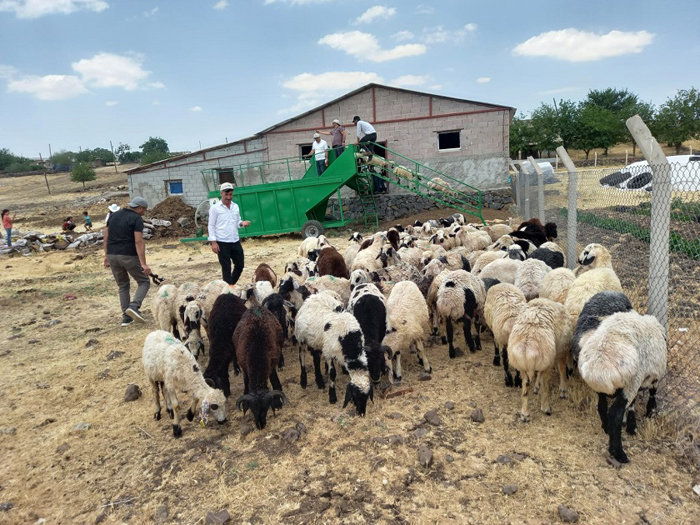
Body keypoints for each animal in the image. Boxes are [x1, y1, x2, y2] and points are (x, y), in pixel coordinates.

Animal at [576, 310, 668, 460]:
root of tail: (599, 364)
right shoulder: (649, 377)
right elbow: (652, 393)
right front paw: (645, 416)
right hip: (632, 380)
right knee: (615, 414)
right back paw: (618, 452)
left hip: (607, 387)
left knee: (602, 407)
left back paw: (607, 428)